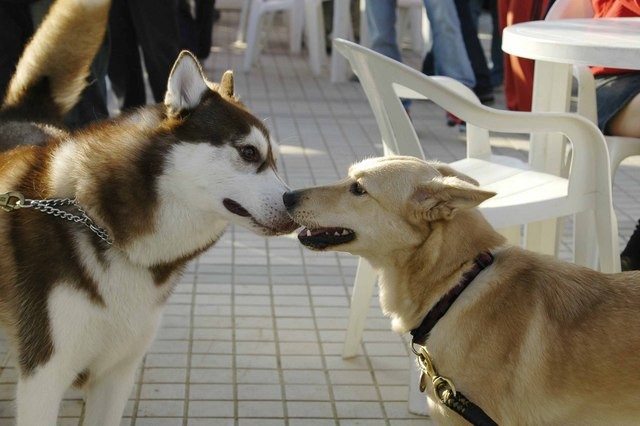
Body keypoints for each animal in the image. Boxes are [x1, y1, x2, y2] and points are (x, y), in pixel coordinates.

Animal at [0, 0, 296, 422]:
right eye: (248, 152)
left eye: (273, 160)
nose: (295, 204)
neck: (104, 228)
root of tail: (23, 116)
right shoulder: (43, 377)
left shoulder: (119, 370)